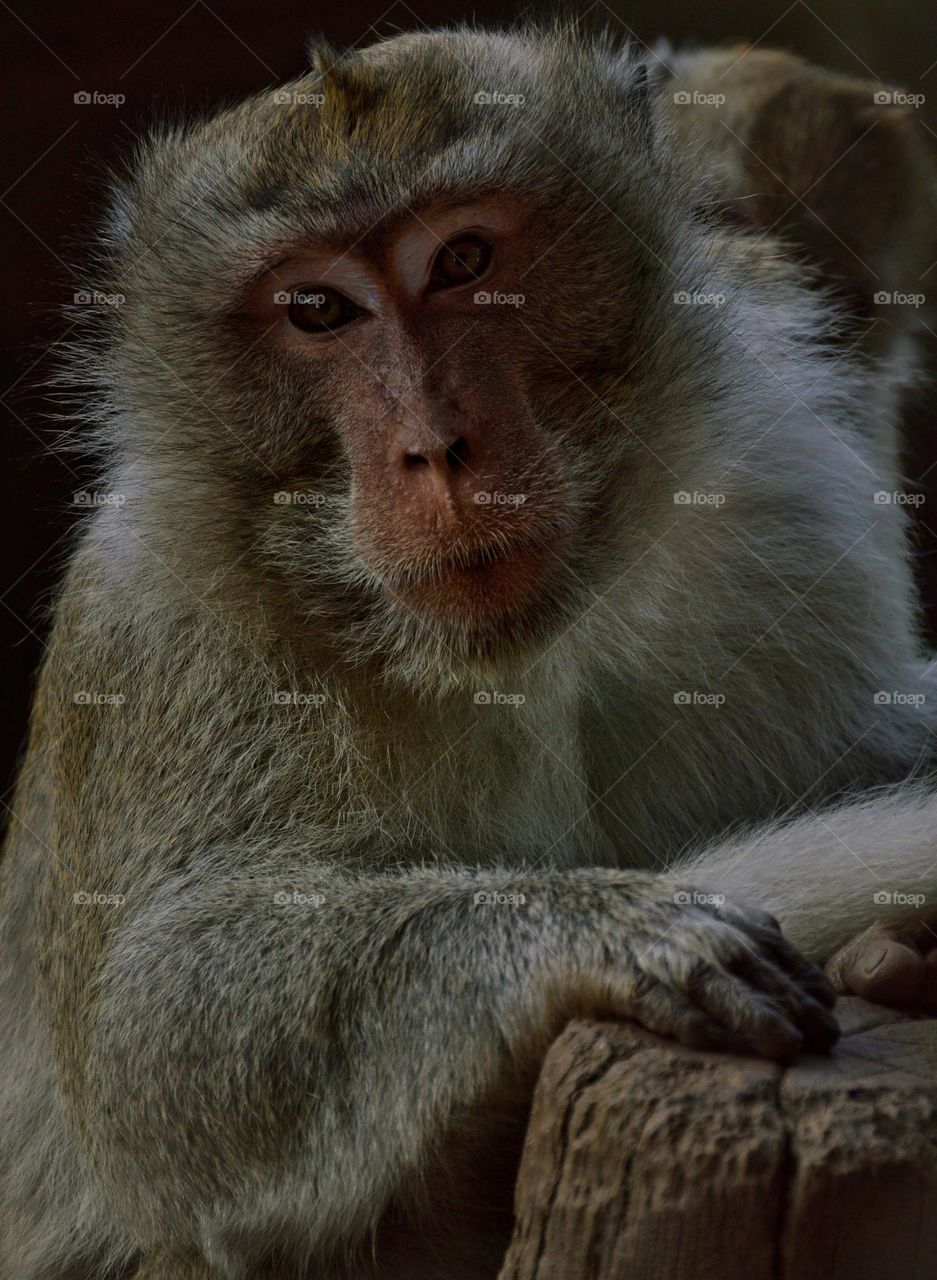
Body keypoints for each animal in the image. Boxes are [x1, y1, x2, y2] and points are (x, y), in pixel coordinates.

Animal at [3, 23, 937, 1280]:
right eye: (316, 308)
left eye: (463, 259)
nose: (434, 448)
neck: (503, 656)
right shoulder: (158, 610)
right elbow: (147, 1045)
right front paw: (593, 927)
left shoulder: (783, 486)